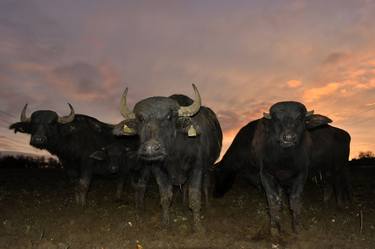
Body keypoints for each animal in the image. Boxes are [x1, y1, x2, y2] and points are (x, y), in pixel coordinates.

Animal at [9, 103, 139, 206]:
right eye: (33, 124)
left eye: (52, 123)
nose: (38, 139)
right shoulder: (68, 166)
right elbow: (76, 185)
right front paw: (77, 202)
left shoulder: (88, 164)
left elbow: (83, 185)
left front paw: (82, 204)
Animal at [113, 84, 222, 231]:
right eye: (140, 118)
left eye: (169, 116)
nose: (151, 148)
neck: (174, 156)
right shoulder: (158, 170)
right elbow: (165, 197)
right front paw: (165, 223)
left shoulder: (197, 167)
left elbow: (195, 198)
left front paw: (198, 227)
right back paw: (183, 206)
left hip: (209, 167)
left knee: (205, 186)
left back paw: (208, 206)